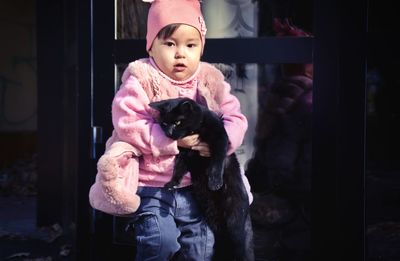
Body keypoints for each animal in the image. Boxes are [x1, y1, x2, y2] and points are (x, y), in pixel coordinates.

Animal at [148, 97, 255, 260]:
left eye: (178, 122)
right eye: (164, 123)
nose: (169, 133)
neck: (195, 130)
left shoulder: (219, 136)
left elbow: (217, 159)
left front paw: (215, 181)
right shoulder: (184, 153)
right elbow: (178, 169)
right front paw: (172, 183)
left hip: (235, 225)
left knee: (240, 248)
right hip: (215, 221)